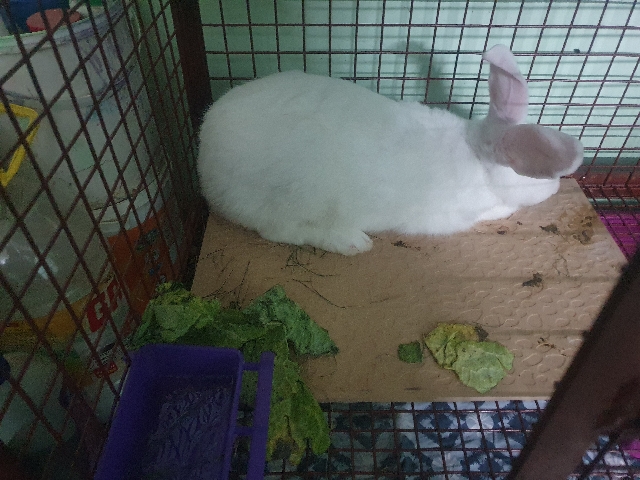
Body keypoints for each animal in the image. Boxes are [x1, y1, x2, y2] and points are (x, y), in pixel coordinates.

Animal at [197, 44, 583, 255]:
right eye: (538, 171)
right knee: (280, 231)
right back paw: (352, 243)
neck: (477, 151)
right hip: (294, 198)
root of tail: (204, 160)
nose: (556, 187)